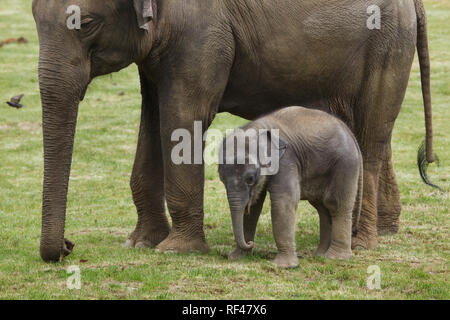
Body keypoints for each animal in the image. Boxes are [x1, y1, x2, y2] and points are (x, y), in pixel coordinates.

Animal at [218, 105, 362, 268]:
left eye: (250, 179)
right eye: (221, 179)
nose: (250, 243)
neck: (257, 128)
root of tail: (350, 133)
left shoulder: (286, 160)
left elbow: (283, 201)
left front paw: (283, 266)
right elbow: (254, 207)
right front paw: (237, 257)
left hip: (345, 163)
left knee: (335, 204)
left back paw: (335, 258)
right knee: (322, 207)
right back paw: (320, 255)